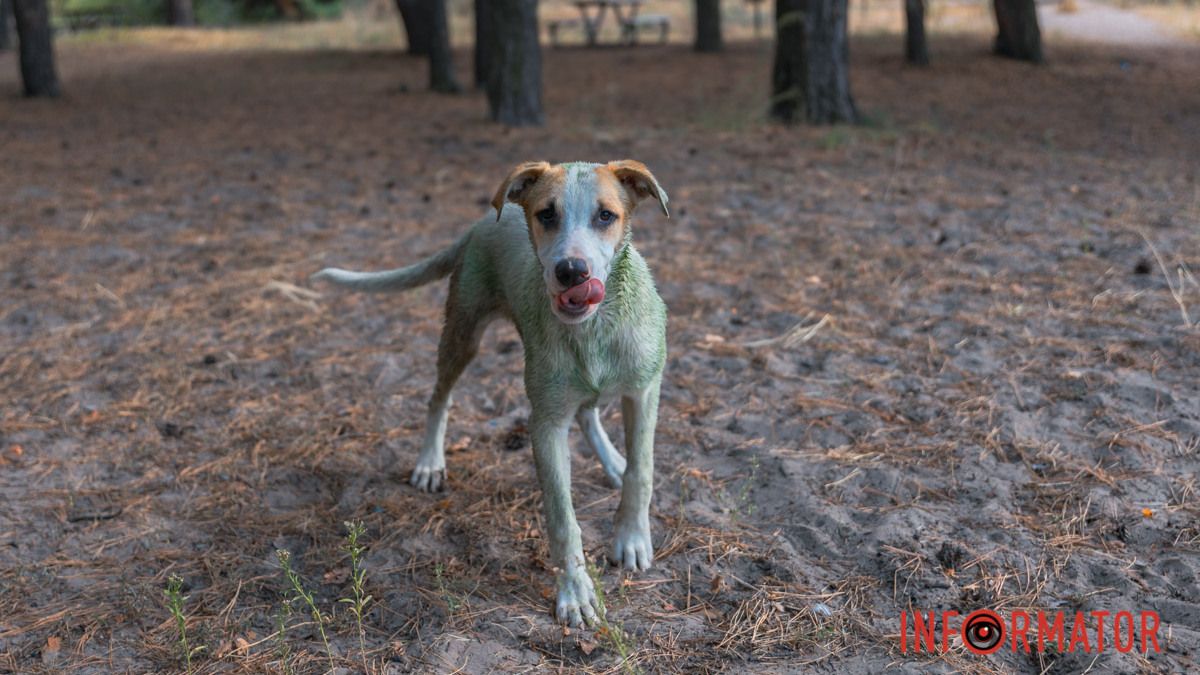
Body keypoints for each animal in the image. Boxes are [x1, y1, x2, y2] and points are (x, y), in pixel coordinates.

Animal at [314, 159, 672, 624]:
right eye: (546, 214)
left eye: (606, 216)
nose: (571, 272)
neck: (594, 328)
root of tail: (479, 224)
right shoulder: (545, 423)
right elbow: (562, 516)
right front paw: (575, 591)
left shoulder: (644, 391)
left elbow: (641, 471)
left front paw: (630, 538)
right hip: (463, 333)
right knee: (439, 398)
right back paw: (430, 462)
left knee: (587, 412)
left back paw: (612, 460)